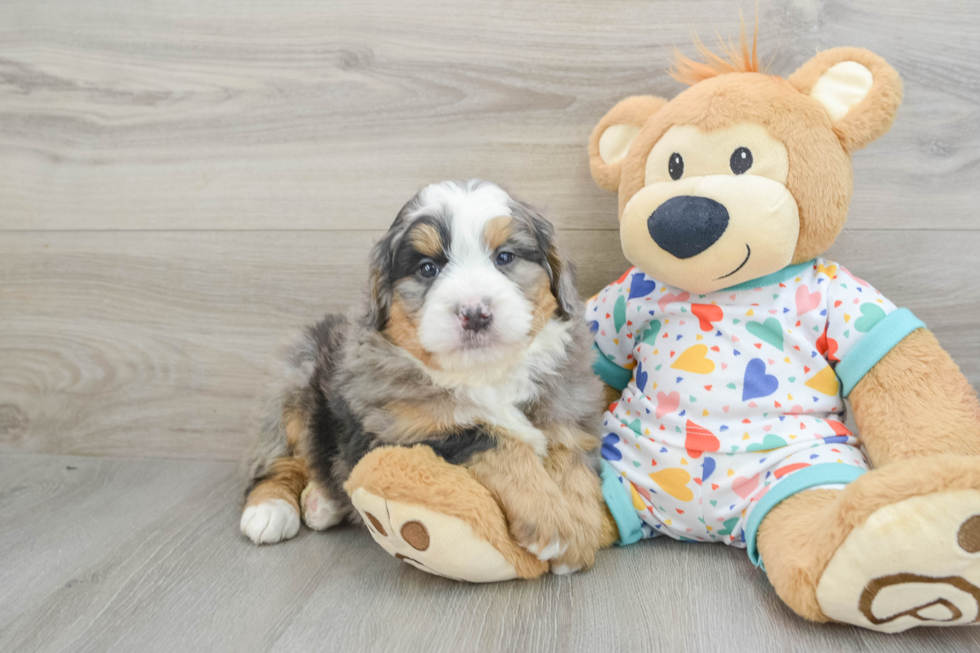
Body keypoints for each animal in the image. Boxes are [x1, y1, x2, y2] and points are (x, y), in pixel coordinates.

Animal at [241, 181, 608, 572]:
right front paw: (553, 522)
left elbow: (573, 462)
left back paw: (322, 504)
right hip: (294, 382)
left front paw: (581, 528)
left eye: (505, 258)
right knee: (278, 460)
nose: (475, 313)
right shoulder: (399, 430)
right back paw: (270, 509)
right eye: (428, 268)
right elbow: (496, 438)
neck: (486, 374)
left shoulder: (570, 410)